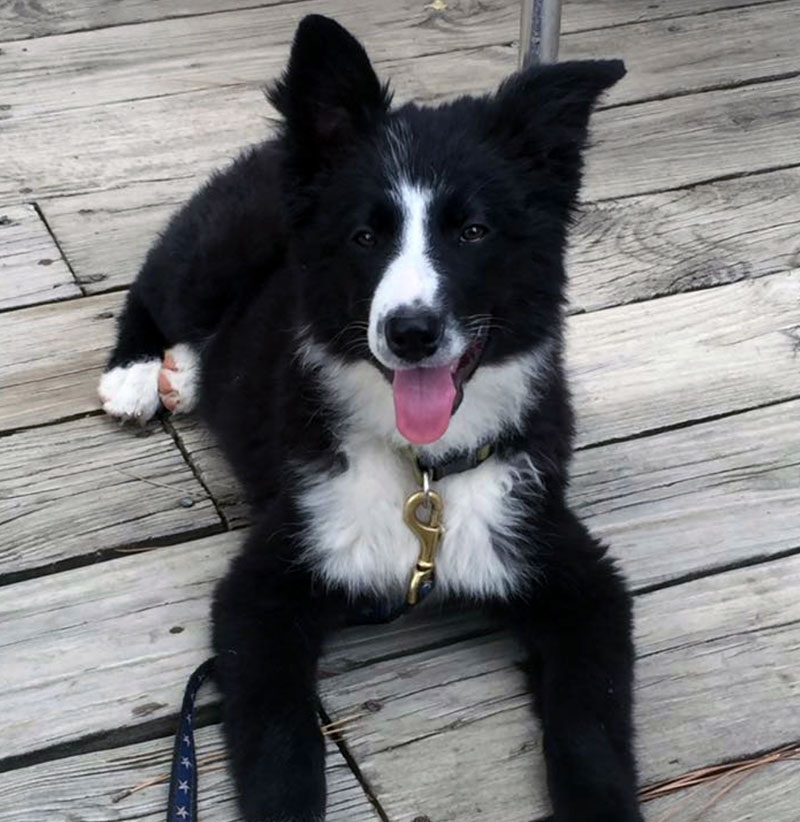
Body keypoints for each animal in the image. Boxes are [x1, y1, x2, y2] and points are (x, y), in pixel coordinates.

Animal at [100, 16, 640, 822]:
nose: (411, 332)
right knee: (153, 288)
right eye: (364, 237)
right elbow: (282, 746)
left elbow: (592, 727)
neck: (426, 473)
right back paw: (138, 375)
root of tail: (274, 148)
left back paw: (184, 372)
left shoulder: (572, 570)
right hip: (214, 250)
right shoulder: (264, 588)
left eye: (473, 231)